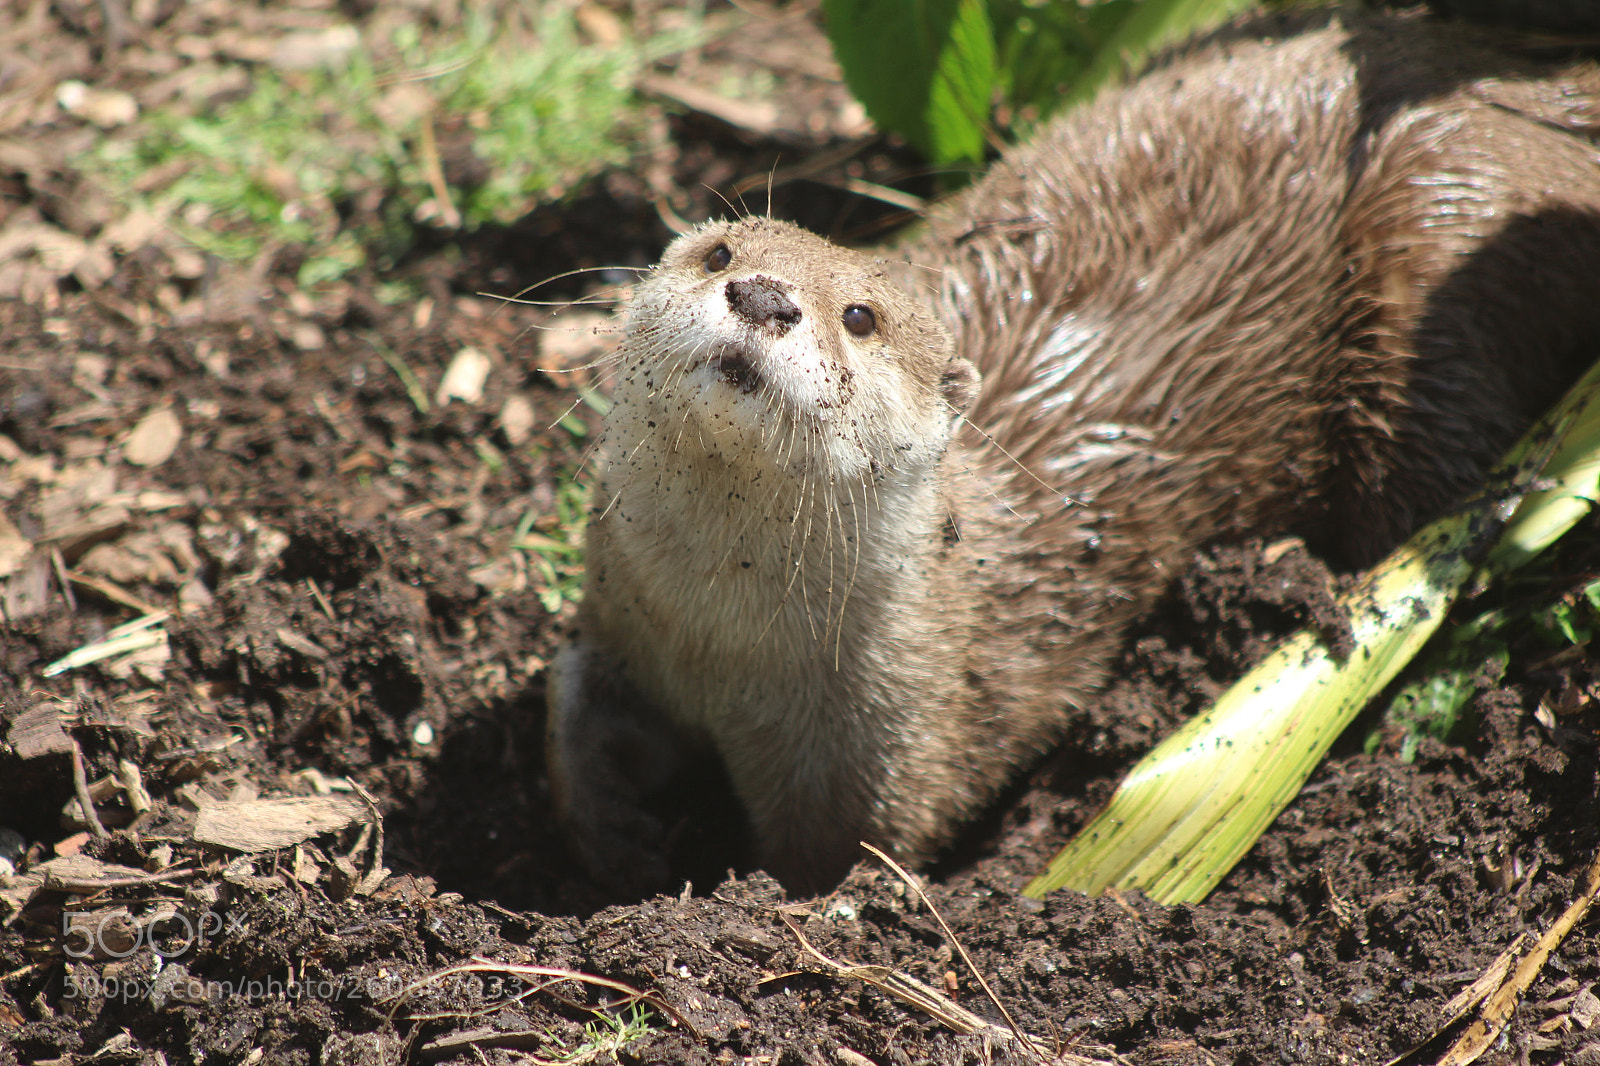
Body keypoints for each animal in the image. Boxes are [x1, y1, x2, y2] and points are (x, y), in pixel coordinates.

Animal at [546, 8, 1600, 896]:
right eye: (721, 253)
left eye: (861, 316)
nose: (766, 296)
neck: (721, 646)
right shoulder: (623, 622)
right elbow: (573, 691)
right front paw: (604, 816)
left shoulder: (898, 746)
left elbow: (846, 858)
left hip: (1437, 237)